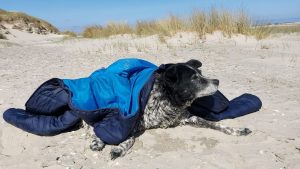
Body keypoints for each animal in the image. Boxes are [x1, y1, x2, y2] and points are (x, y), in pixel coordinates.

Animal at [84, 59, 251, 160]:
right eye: (194, 78)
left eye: (201, 74)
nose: (217, 81)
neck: (166, 97)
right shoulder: (131, 119)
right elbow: (128, 137)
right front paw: (118, 148)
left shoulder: (189, 118)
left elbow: (217, 124)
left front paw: (237, 130)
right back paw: (97, 140)